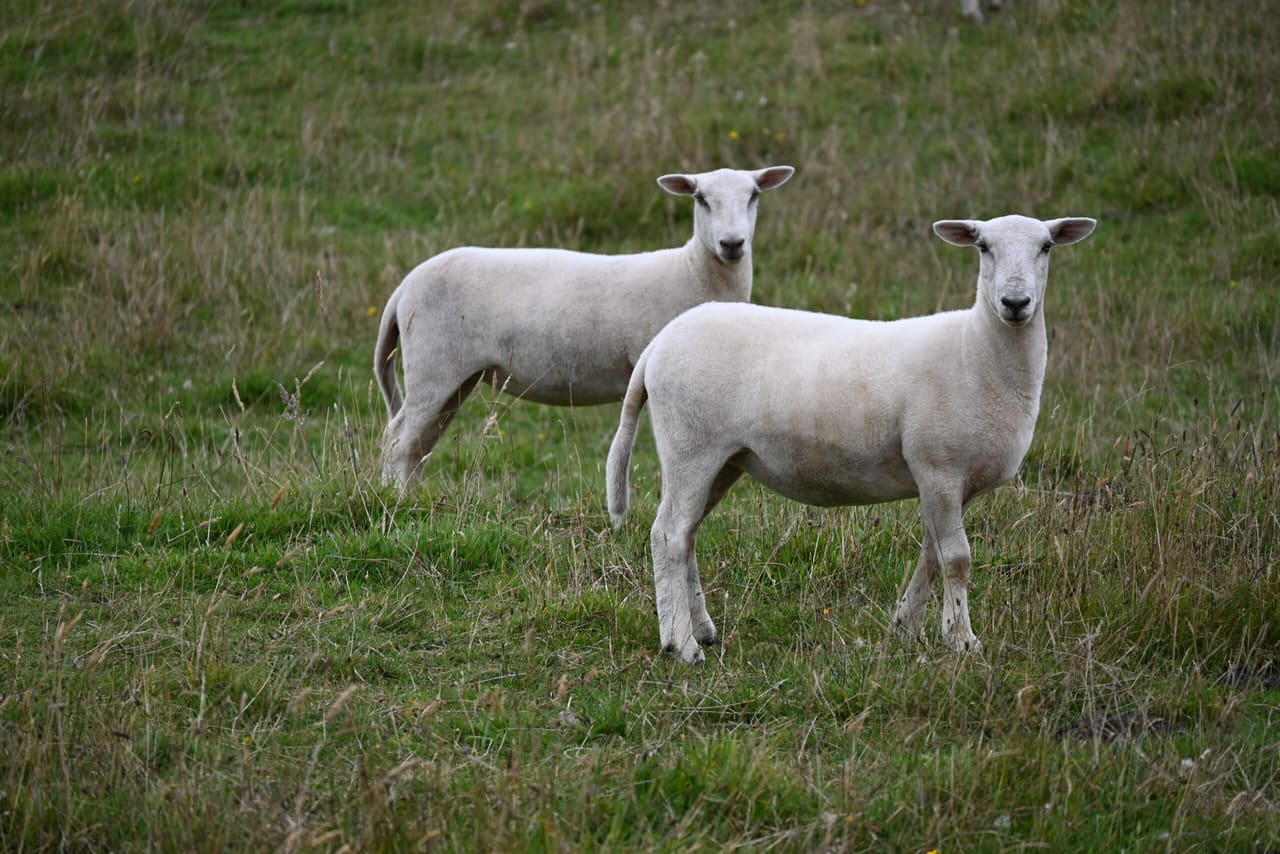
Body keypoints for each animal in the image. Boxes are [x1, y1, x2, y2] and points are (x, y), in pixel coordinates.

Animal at [374, 165, 795, 489]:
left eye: (754, 195)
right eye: (701, 198)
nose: (732, 243)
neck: (692, 271)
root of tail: (405, 286)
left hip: (456, 378)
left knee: (420, 443)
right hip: (433, 366)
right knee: (398, 439)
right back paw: (397, 500)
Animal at [606, 214, 1097, 664]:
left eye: (1047, 246)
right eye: (983, 247)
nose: (1015, 302)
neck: (975, 350)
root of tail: (660, 342)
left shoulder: (959, 482)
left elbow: (932, 554)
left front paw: (907, 626)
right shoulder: (938, 466)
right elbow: (956, 558)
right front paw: (962, 640)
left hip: (724, 460)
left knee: (686, 534)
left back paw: (702, 629)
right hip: (690, 446)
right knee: (668, 535)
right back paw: (681, 643)